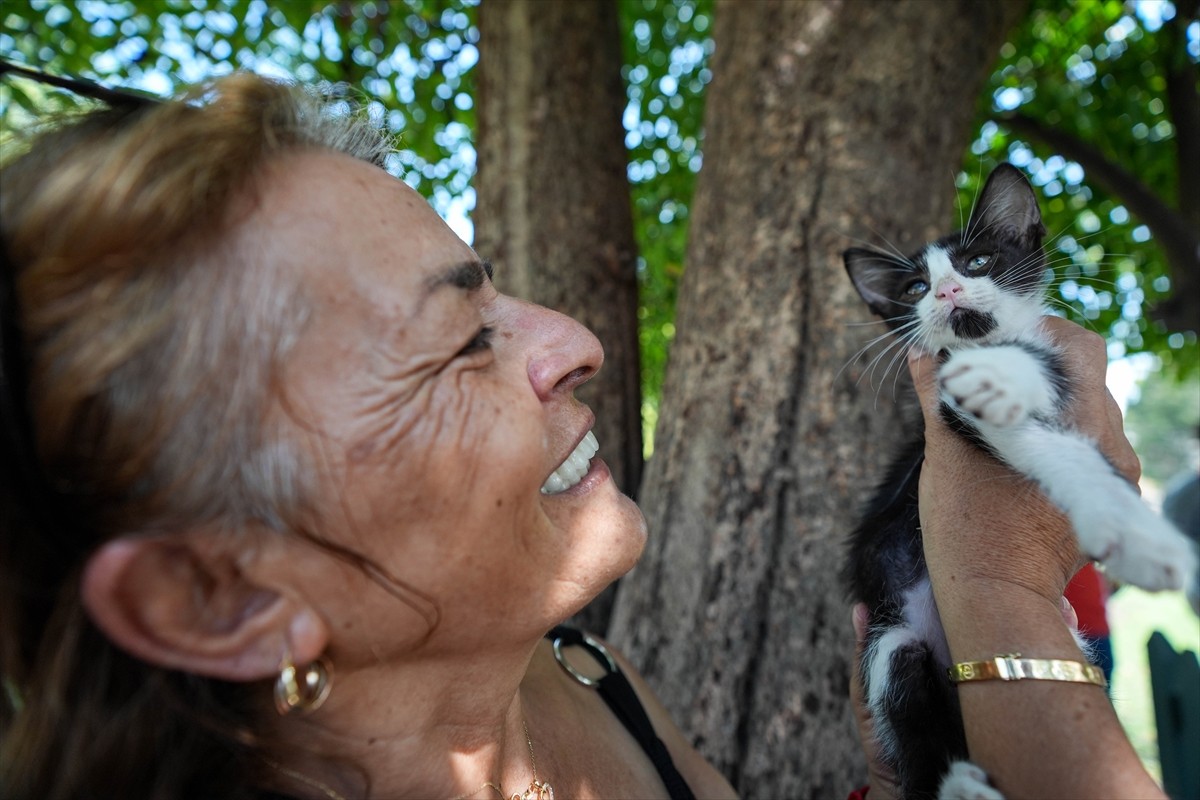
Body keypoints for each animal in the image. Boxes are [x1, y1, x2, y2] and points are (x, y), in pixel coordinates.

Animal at [840, 164, 1195, 800]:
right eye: (914, 289)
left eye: (978, 261)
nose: (948, 292)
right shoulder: (941, 417)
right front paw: (1139, 537)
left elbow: (1040, 369)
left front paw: (1000, 374)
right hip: (890, 638)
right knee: (906, 702)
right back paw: (958, 785)